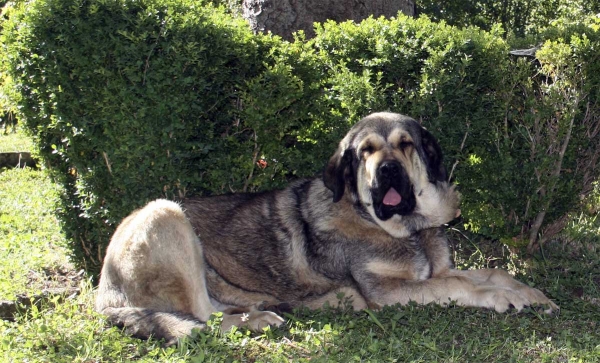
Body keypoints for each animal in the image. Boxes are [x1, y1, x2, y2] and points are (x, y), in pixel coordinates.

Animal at [95, 112, 556, 346]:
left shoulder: (435, 270)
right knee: (202, 317)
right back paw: (258, 319)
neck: (405, 229)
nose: (387, 170)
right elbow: (463, 286)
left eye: (406, 144)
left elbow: (491, 271)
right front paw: (504, 299)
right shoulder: (385, 294)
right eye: (365, 152)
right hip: (164, 213)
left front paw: (529, 293)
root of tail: (105, 291)